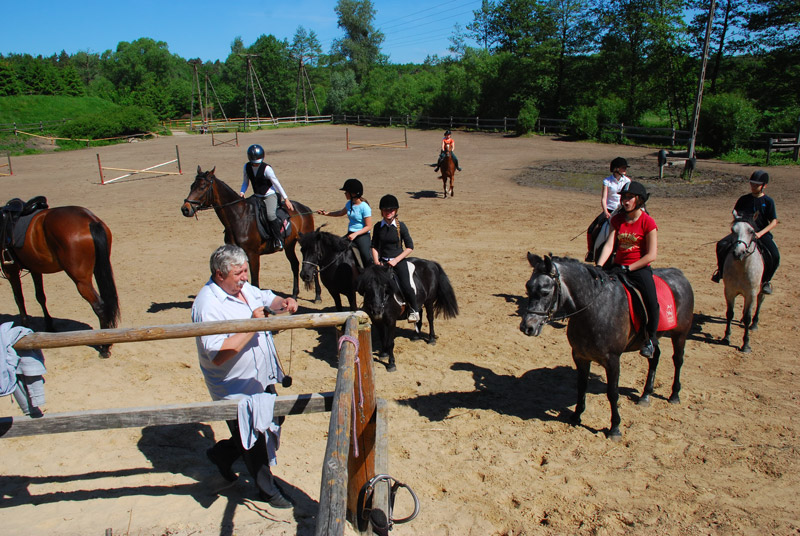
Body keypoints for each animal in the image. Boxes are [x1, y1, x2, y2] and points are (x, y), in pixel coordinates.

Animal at [1, 207, 119, 358]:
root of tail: (90, 220)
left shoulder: (11, 270)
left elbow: (19, 299)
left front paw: (25, 327)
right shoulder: (35, 268)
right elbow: (40, 296)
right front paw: (49, 326)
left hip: (81, 281)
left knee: (99, 306)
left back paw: (104, 346)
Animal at [180, 166, 320, 302]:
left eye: (202, 187)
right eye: (192, 186)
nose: (185, 209)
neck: (239, 217)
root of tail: (305, 209)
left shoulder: (253, 255)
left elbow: (255, 282)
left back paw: (318, 296)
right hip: (289, 245)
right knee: (295, 265)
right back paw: (295, 294)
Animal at [520, 254, 692, 440]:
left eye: (545, 292)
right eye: (528, 288)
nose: (527, 327)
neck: (591, 309)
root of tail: (680, 274)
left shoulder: (612, 360)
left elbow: (613, 392)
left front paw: (614, 428)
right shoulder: (579, 356)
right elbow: (581, 385)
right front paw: (576, 415)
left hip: (680, 333)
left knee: (678, 360)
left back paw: (674, 395)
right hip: (652, 338)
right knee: (654, 358)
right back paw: (646, 395)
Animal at [720, 216, 768, 354]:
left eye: (751, 231)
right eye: (733, 230)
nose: (738, 253)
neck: (741, 267)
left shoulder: (751, 293)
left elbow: (747, 317)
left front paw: (746, 345)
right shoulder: (729, 291)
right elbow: (730, 313)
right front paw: (726, 337)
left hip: (760, 288)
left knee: (760, 300)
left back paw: (754, 324)